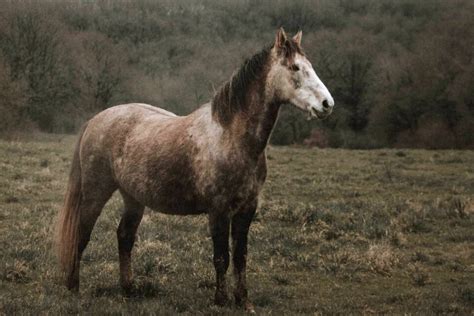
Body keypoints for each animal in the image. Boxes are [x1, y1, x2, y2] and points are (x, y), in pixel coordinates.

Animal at [56, 28, 334, 312]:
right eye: (295, 67)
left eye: (309, 66)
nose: (327, 104)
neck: (231, 137)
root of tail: (96, 120)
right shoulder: (218, 211)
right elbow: (221, 257)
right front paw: (221, 301)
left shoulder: (247, 209)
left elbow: (241, 256)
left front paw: (243, 300)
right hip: (96, 192)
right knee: (82, 234)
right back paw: (73, 287)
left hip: (133, 198)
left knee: (124, 236)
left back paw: (128, 290)